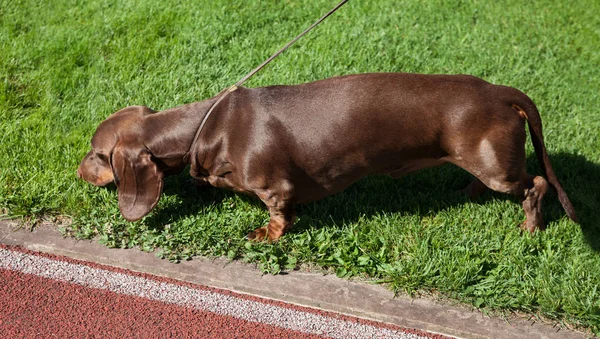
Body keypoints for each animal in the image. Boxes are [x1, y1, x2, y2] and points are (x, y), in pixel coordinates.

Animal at [76, 73, 576, 240]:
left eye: (97, 154)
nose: (77, 171)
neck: (205, 126)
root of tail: (501, 92)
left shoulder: (276, 188)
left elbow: (280, 216)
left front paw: (265, 235)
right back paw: (467, 193)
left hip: (500, 168)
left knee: (536, 184)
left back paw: (530, 228)